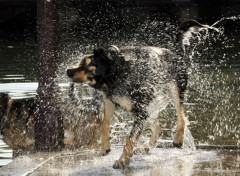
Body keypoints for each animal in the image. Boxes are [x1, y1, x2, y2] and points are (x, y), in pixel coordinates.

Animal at [66, 20, 215, 168]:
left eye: (91, 72)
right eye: (82, 61)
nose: (68, 71)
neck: (118, 72)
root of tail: (176, 55)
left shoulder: (140, 110)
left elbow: (130, 138)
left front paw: (122, 160)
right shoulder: (111, 101)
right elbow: (104, 123)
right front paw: (105, 148)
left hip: (174, 92)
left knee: (182, 117)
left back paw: (178, 139)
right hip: (147, 108)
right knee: (158, 129)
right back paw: (145, 148)